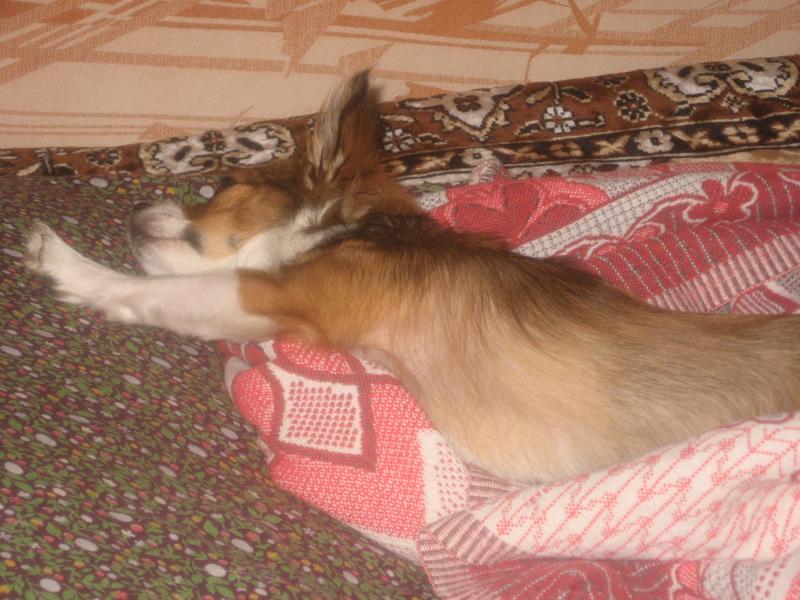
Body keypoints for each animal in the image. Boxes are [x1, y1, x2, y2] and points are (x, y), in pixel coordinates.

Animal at [25, 71, 800, 483]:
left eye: (222, 184)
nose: (133, 207)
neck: (352, 229)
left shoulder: (282, 294)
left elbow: (150, 292)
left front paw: (65, 262)